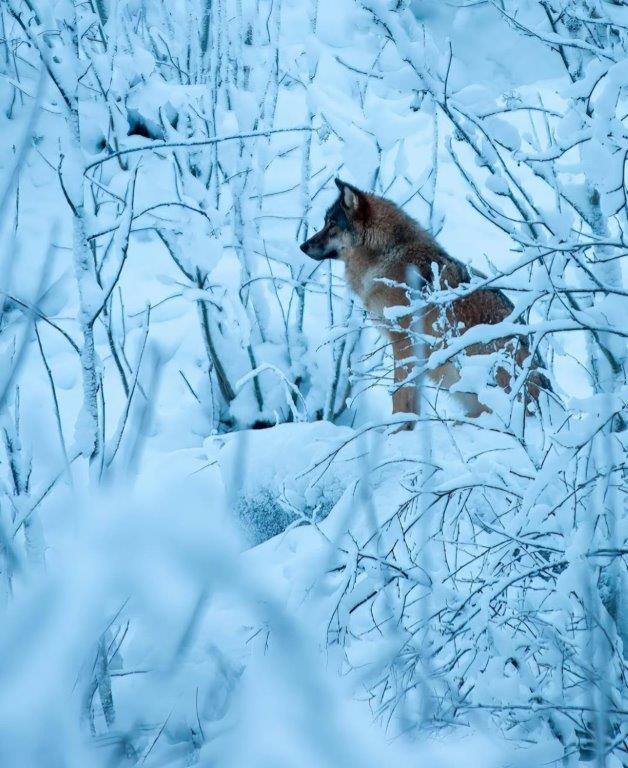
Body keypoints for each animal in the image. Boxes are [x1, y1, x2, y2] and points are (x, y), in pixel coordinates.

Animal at [300, 178, 549, 421]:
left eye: (332, 224)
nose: (302, 246)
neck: (388, 256)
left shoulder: (403, 340)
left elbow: (401, 392)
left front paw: (397, 426)